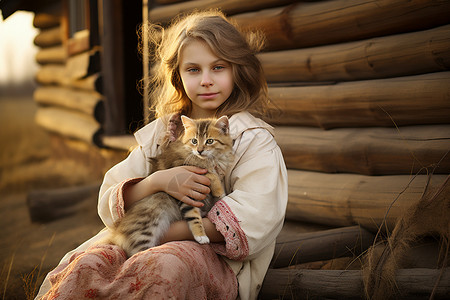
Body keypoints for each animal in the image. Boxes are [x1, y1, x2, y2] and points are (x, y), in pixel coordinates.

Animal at [103, 116, 234, 256]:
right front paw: (201, 236)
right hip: (146, 226)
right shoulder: (185, 184)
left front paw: (219, 192)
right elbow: (194, 214)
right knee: (137, 252)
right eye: (194, 141)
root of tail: (117, 234)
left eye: (209, 141)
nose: (199, 150)